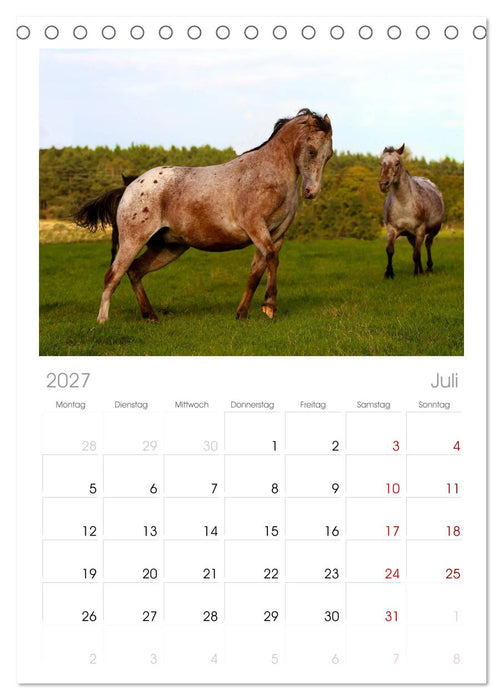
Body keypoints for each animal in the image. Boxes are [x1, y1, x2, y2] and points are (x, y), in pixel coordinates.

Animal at [87, 108, 333, 323]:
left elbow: (257, 272)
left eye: (328, 155)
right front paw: (270, 306)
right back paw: (103, 320)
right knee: (113, 275)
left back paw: (151, 316)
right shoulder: (256, 227)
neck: (267, 175)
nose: (310, 192)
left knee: (135, 271)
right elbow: (272, 259)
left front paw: (242, 314)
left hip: (168, 248)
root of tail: (129, 187)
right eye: (311, 151)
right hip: (133, 241)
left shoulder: (277, 234)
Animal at [379, 144, 444, 278]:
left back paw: (428, 268)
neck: (404, 204)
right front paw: (389, 274)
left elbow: (416, 254)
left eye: (397, 163)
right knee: (417, 248)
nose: (383, 184)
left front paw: (415, 274)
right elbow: (390, 250)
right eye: (381, 163)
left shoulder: (420, 230)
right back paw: (421, 270)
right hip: (411, 236)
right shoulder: (392, 229)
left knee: (428, 244)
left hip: (434, 229)